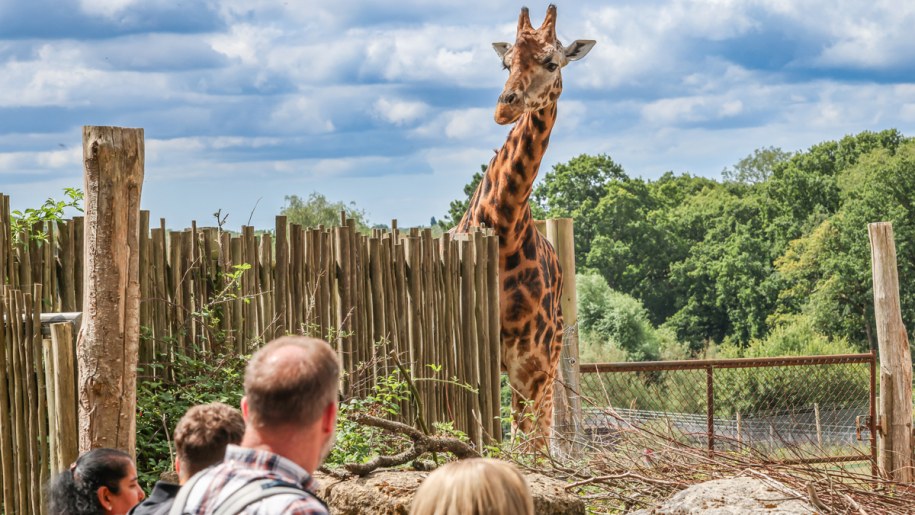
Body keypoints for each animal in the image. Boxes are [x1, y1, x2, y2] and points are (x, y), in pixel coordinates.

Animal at [454, 5, 594, 445]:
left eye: (552, 62)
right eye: (506, 62)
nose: (504, 107)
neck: (504, 228)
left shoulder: (531, 367)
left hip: (549, 367)